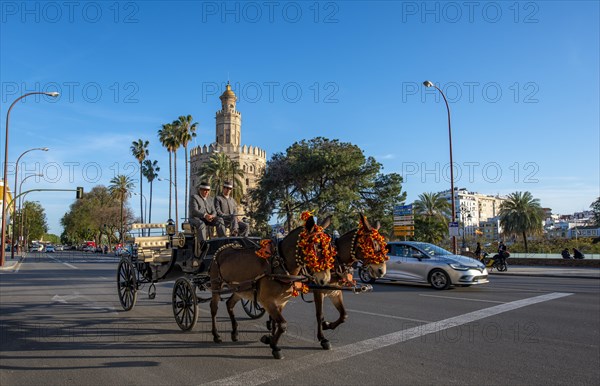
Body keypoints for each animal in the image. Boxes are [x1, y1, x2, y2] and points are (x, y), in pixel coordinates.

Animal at [210, 216, 336, 358]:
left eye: (330, 248)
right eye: (316, 247)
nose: (325, 279)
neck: (281, 265)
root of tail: (223, 248)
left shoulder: (281, 301)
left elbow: (277, 323)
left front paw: (270, 340)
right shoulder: (267, 300)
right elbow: (282, 324)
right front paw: (275, 347)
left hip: (240, 289)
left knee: (229, 304)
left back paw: (235, 333)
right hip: (216, 284)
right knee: (213, 308)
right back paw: (216, 335)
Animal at [312, 214, 386, 350]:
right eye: (372, 245)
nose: (382, 270)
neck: (336, 260)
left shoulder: (335, 291)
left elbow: (344, 315)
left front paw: (327, 325)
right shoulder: (318, 290)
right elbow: (319, 314)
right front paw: (323, 338)